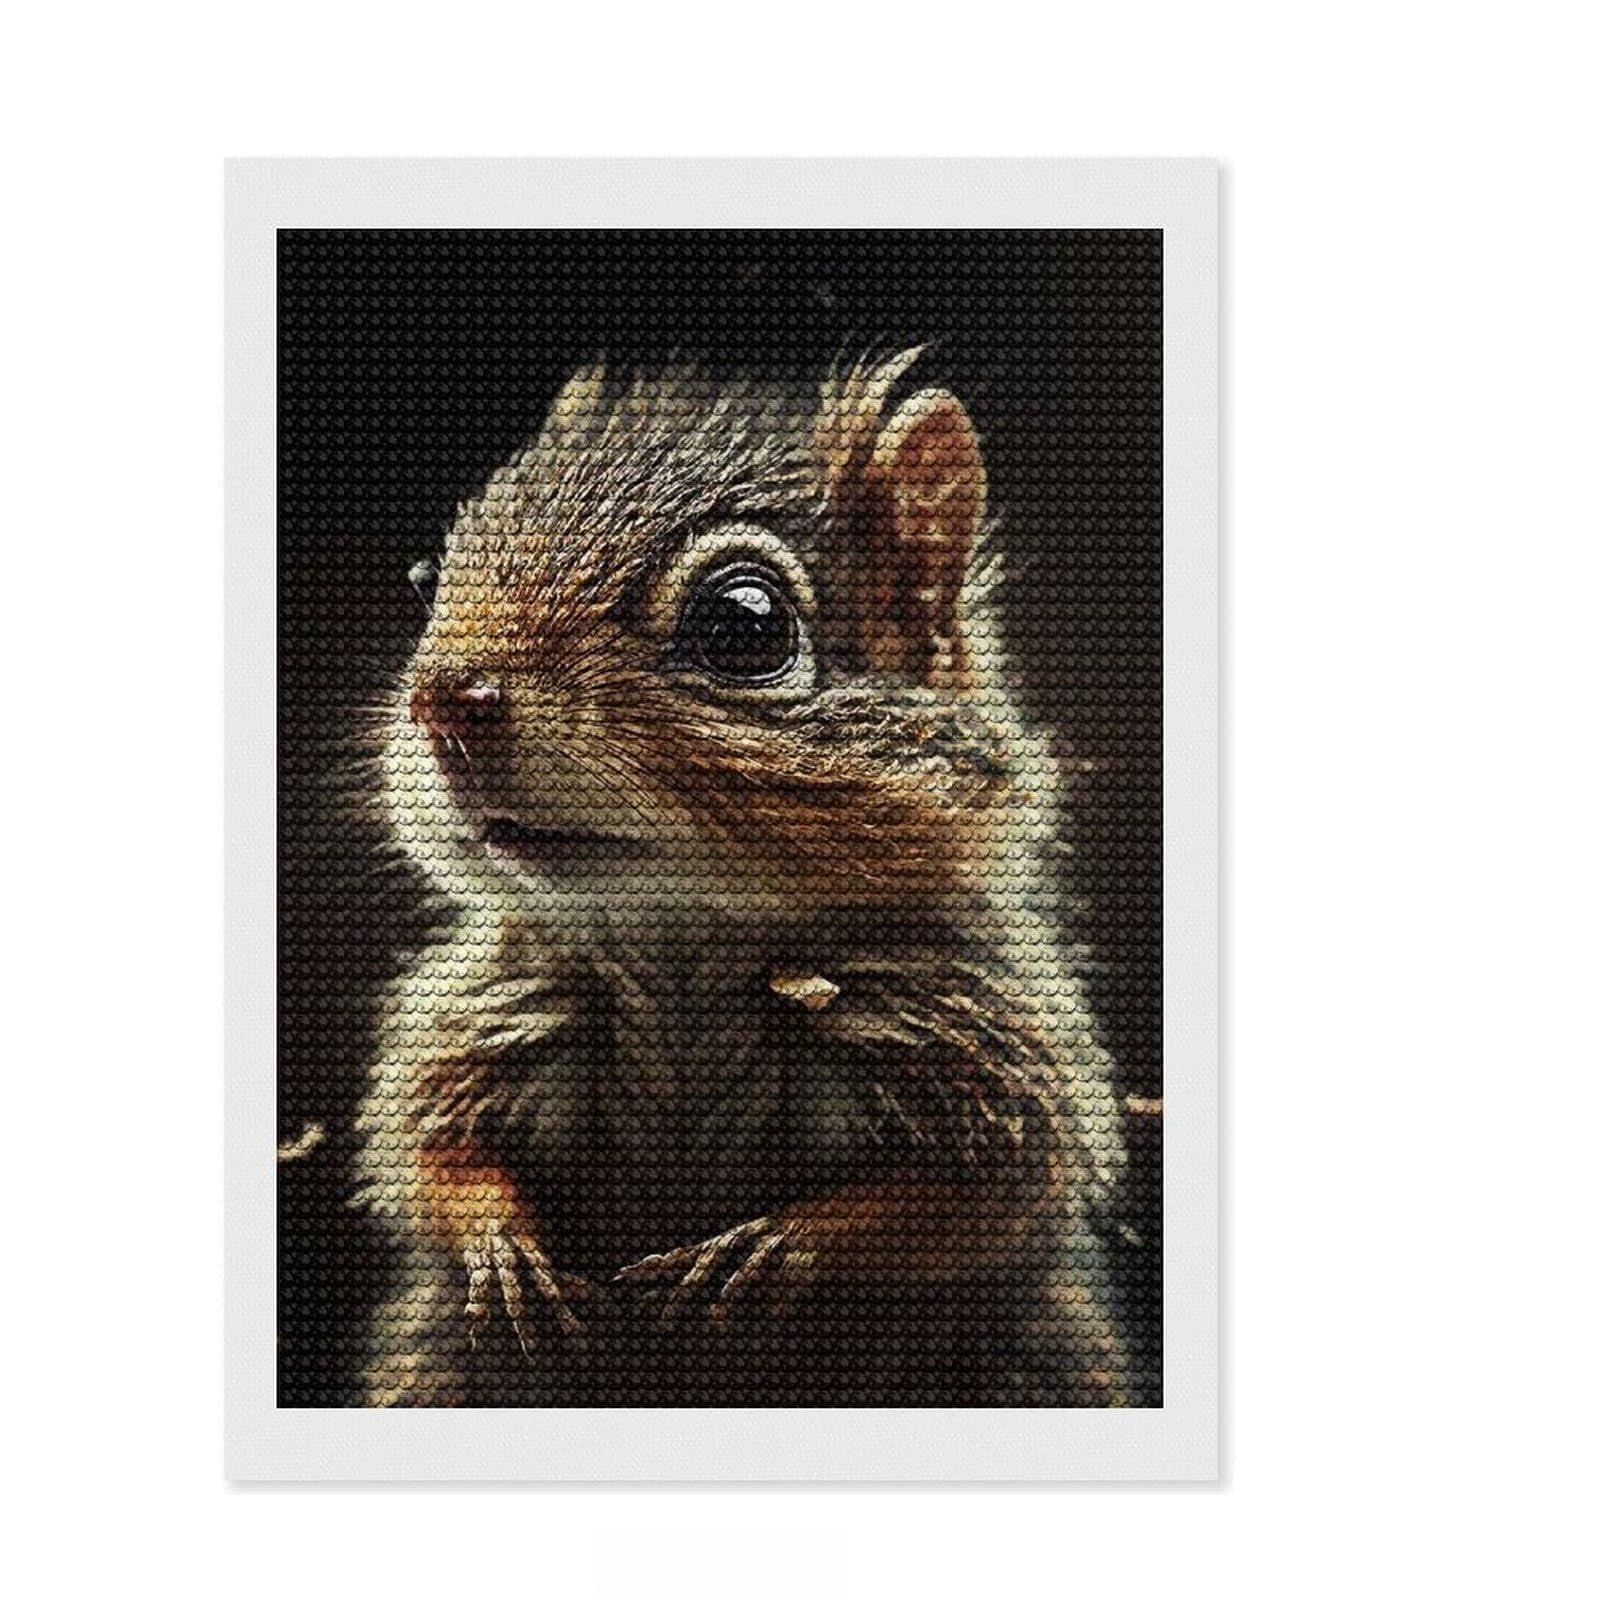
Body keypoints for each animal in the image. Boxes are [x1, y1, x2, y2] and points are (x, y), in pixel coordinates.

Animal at [355, 348, 1144, 1407]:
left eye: (743, 624)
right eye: (426, 581)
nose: (443, 699)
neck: (683, 947)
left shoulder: (991, 1040)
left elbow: (985, 1194)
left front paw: (776, 1246)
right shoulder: (481, 1012)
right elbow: (429, 1152)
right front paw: (500, 1245)